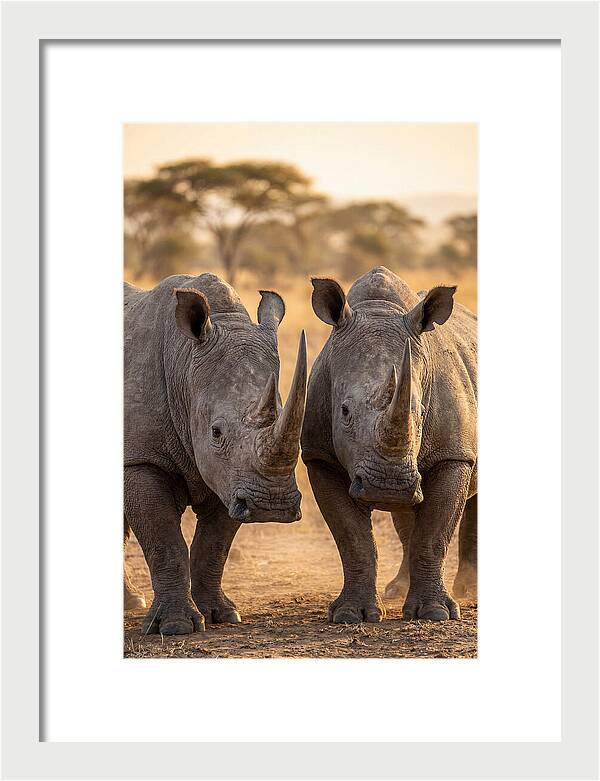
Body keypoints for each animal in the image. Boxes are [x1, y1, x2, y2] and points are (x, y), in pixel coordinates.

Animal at [124, 273, 307, 635]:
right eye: (216, 432)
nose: (272, 506)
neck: (184, 364)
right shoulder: (140, 458)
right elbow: (164, 540)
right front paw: (176, 627)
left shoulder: (232, 476)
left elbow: (214, 544)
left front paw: (221, 615)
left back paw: (131, 602)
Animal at [301, 266, 477, 622]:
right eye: (344, 411)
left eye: (420, 411)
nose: (388, 486)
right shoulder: (320, 457)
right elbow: (353, 540)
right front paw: (351, 615)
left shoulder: (454, 455)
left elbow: (434, 535)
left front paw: (436, 614)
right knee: (407, 516)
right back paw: (397, 589)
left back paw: (469, 591)